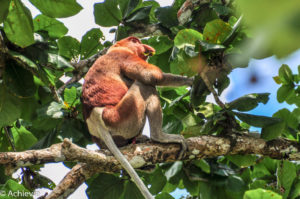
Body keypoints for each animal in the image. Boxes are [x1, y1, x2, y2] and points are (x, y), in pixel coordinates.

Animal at [81, 36, 193, 198]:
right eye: (136, 41)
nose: (146, 46)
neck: (114, 49)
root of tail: (96, 119)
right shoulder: (124, 55)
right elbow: (152, 76)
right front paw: (196, 80)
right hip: (122, 117)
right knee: (145, 86)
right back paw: (159, 137)